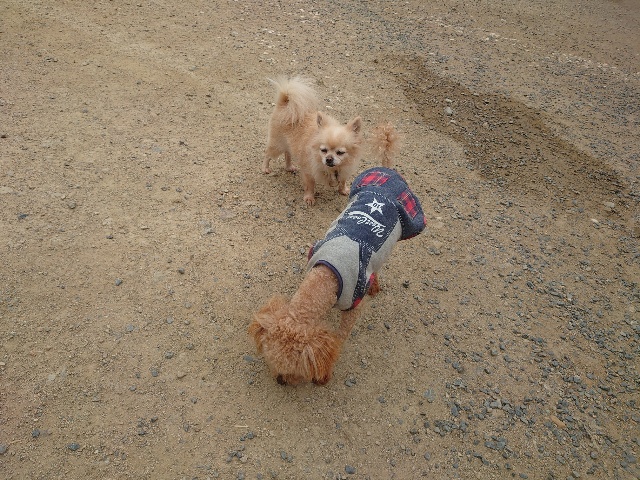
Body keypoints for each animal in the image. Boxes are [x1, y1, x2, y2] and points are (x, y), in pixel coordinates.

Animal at [249, 125, 426, 385]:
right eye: (272, 361)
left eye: (293, 370)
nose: (280, 381)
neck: (327, 275)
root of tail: (386, 170)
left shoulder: (353, 302)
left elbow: (341, 335)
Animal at [262, 76, 363, 205]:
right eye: (323, 150)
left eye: (340, 152)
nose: (329, 159)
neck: (333, 168)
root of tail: (284, 103)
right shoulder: (309, 171)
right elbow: (310, 185)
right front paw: (309, 198)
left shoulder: (344, 170)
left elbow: (343, 180)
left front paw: (343, 190)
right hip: (277, 145)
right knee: (268, 154)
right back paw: (265, 168)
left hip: (288, 144)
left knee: (287, 154)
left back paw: (289, 167)